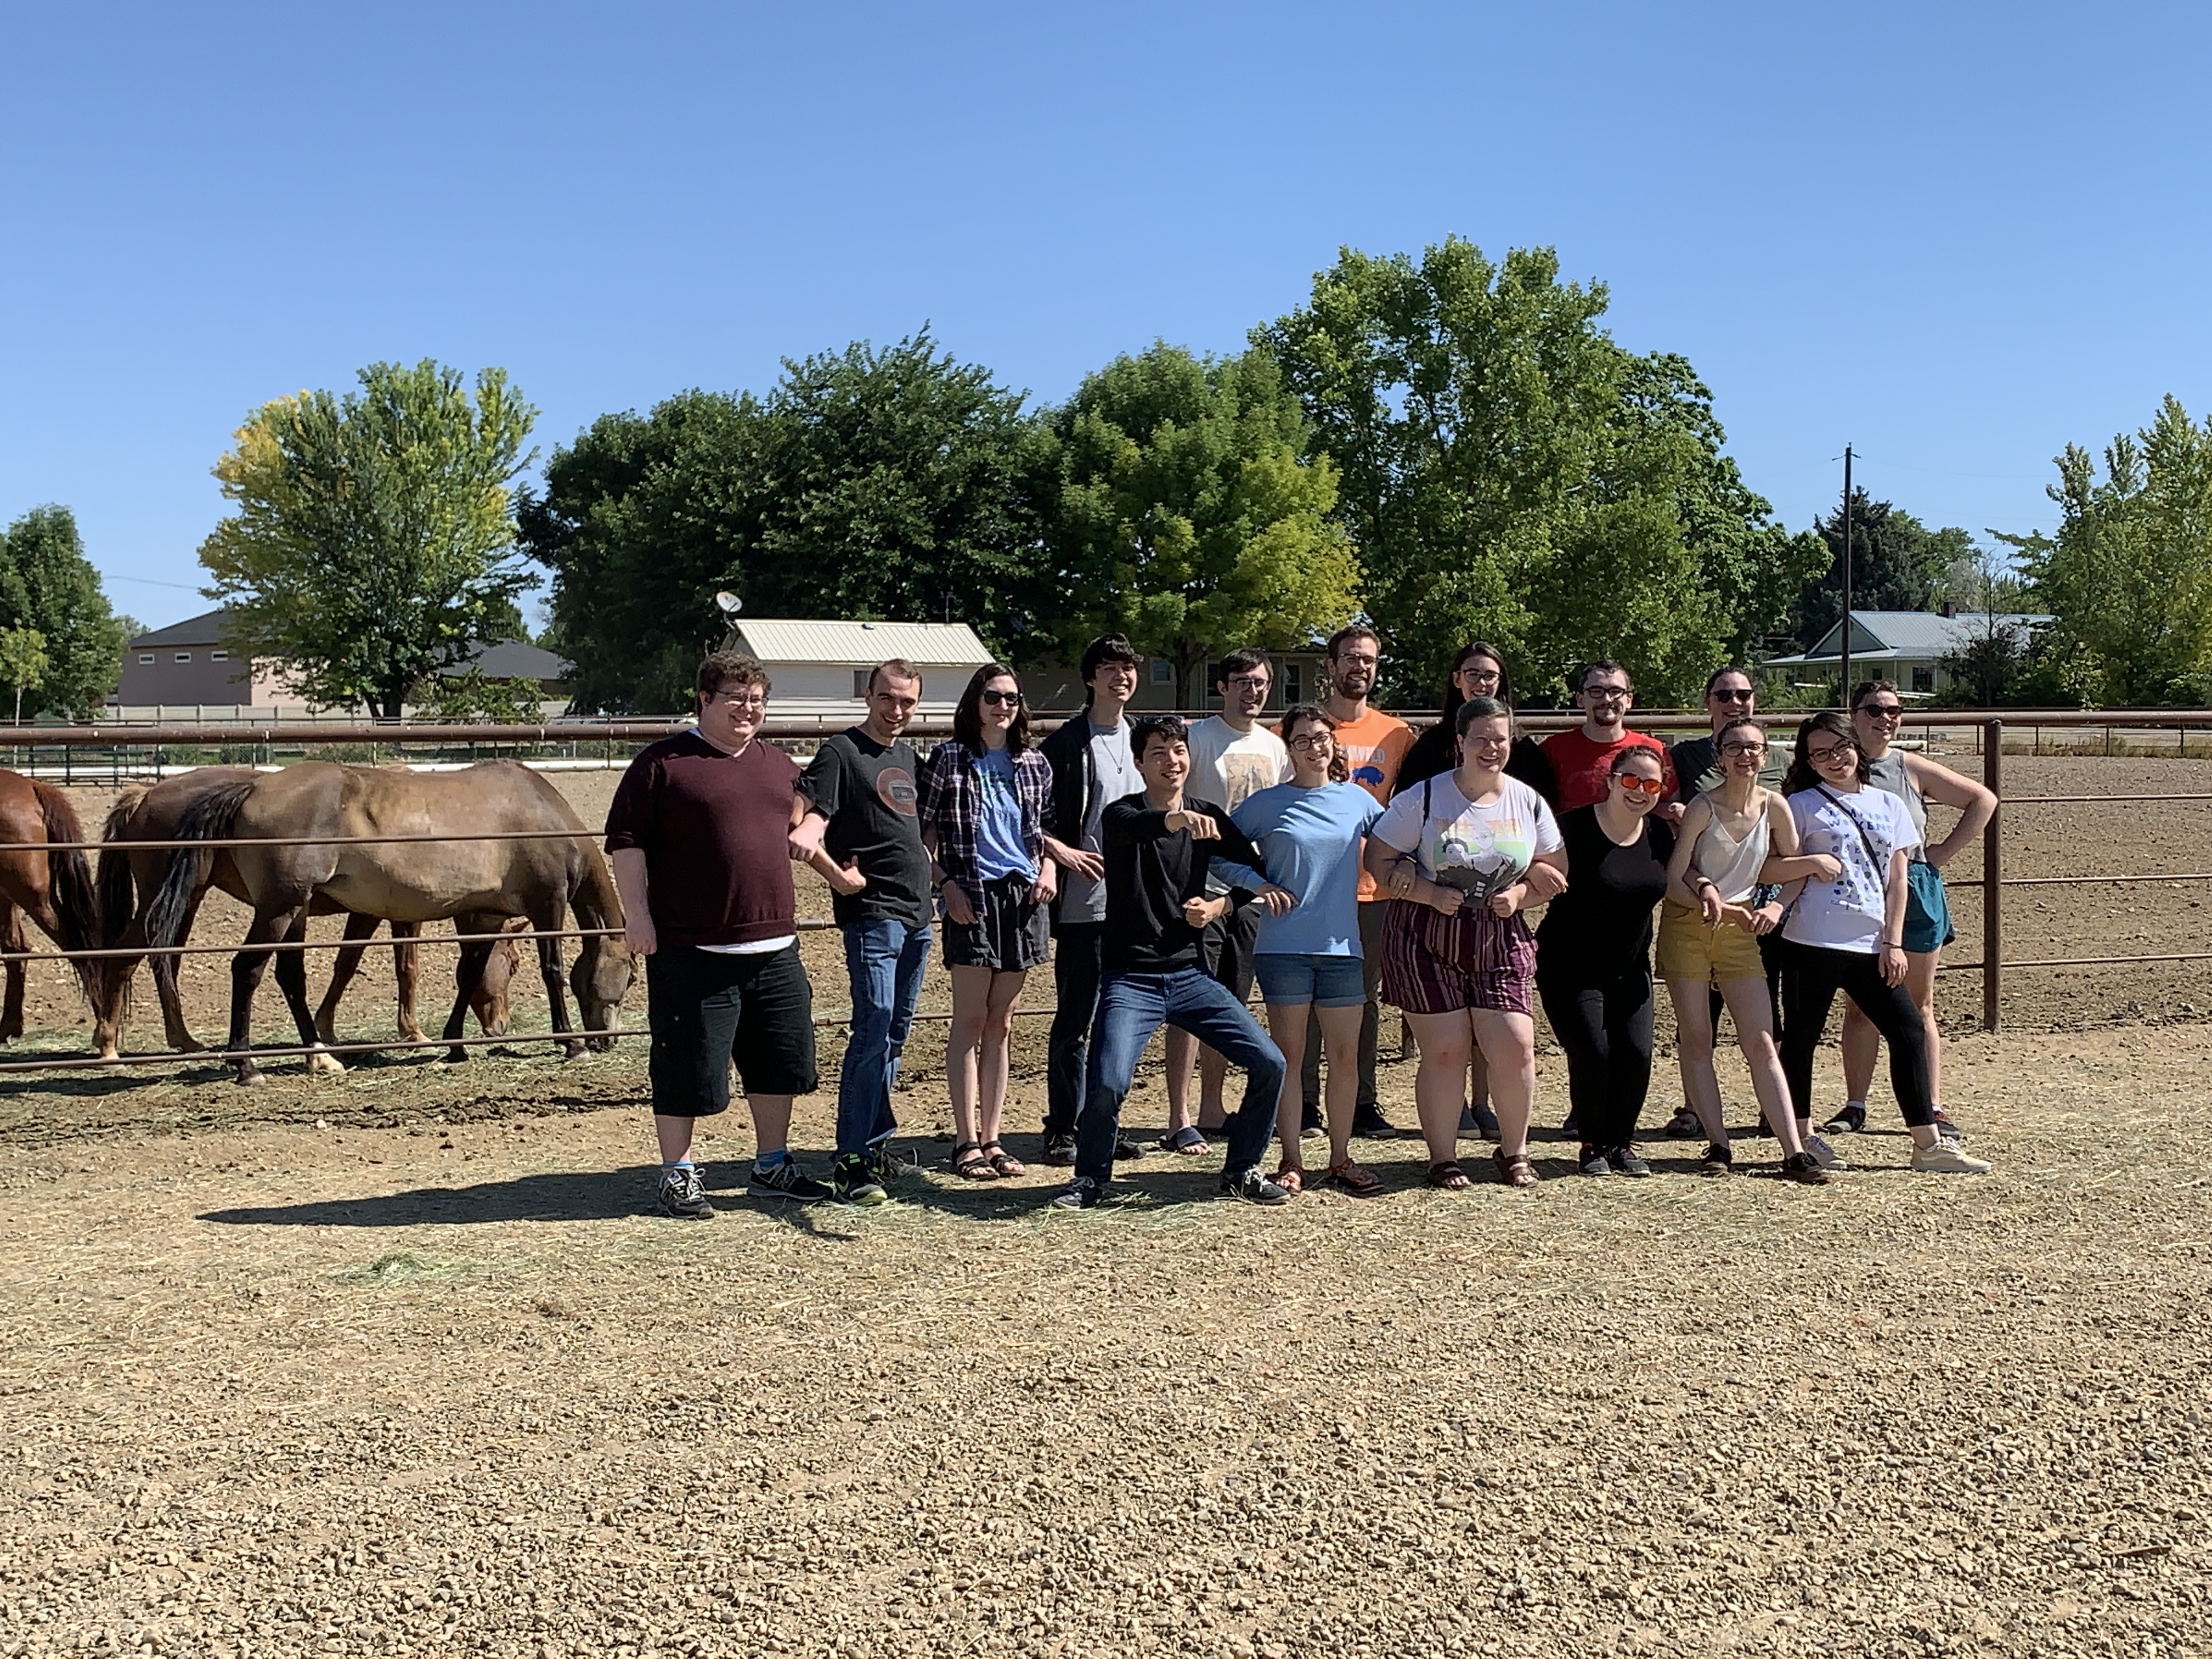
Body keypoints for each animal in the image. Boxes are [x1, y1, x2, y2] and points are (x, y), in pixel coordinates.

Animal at [98, 774, 517, 1057]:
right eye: (513, 965)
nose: (501, 1027)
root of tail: (145, 795)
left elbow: (355, 964)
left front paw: (326, 1029)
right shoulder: (387, 913)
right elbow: (389, 967)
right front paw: (410, 1032)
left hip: (187, 899)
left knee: (164, 959)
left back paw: (181, 1038)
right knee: (127, 958)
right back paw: (109, 1045)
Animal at [142, 761, 633, 1084]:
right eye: (630, 978)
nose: (608, 1039)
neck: (540, 811)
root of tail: (250, 790)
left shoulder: (482, 914)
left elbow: (469, 974)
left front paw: (454, 1046)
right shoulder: (548, 902)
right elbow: (552, 972)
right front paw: (572, 1044)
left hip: (294, 910)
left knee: (290, 977)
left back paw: (320, 1058)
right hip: (279, 908)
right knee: (247, 969)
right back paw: (245, 1066)